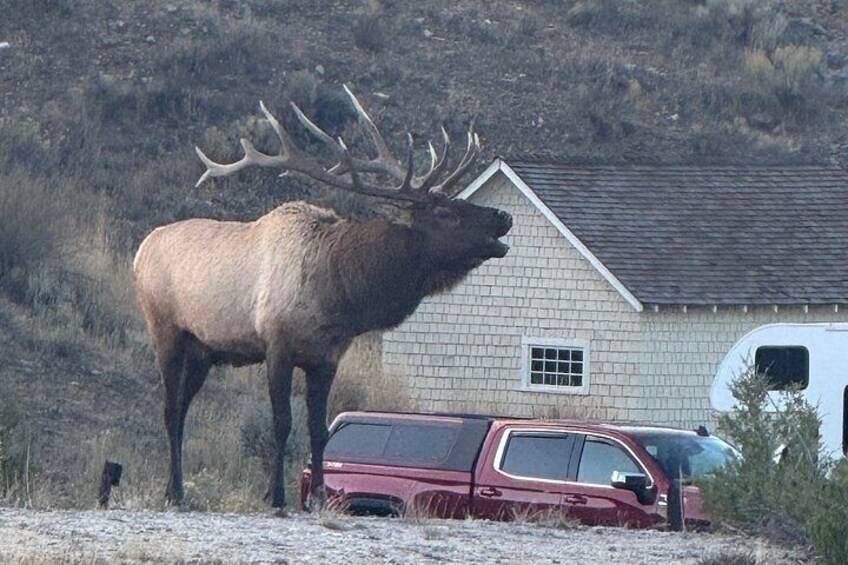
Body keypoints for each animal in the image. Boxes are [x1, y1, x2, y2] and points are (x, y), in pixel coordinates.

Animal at [133, 85, 512, 512]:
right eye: (446, 211)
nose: (503, 216)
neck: (341, 298)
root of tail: (140, 251)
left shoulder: (327, 358)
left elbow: (319, 429)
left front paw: (317, 496)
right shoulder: (277, 344)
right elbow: (282, 423)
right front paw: (276, 496)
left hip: (204, 350)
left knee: (181, 408)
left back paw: (175, 488)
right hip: (165, 330)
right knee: (169, 410)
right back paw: (175, 492)